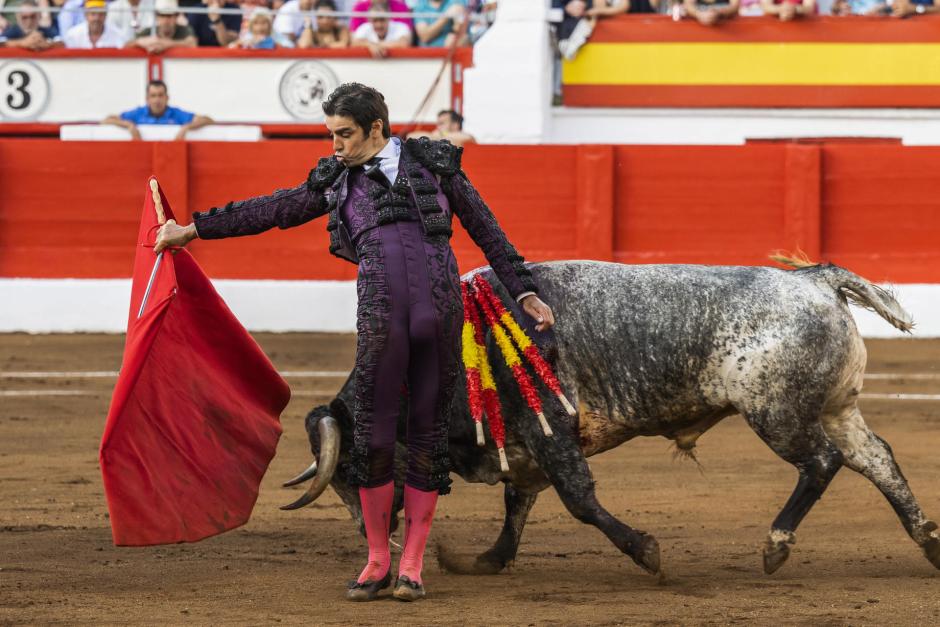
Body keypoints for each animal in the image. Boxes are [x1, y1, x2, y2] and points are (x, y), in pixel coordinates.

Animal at [280, 260, 940, 580]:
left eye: (353, 471)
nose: (377, 543)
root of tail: (814, 280)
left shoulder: (550, 432)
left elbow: (578, 501)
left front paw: (646, 551)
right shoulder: (527, 446)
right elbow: (518, 505)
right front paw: (487, 560)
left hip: (775, 412)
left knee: (822, 463)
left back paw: (776, 546)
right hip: (836, 408)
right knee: (878, 459)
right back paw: (929, 542)